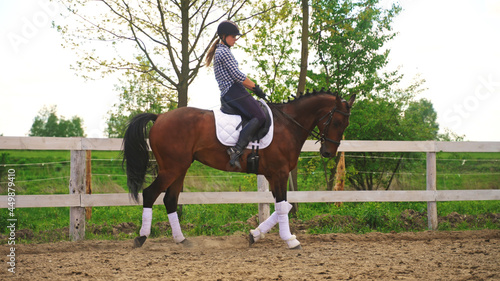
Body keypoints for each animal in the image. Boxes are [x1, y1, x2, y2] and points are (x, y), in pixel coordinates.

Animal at [124, 89, 356, 247]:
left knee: (170, 199)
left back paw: (181, 240)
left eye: (345, 125)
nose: (328, 153)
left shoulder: (273, 175)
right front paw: (290, 240)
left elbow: (283, 206)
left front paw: (255, 235)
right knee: (150, 193)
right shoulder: (280, 173)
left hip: (180, 168)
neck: (288, 124)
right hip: (171, 168)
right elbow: (283, 206)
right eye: (336, 122)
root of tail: (160, 117)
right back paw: (141, 237)